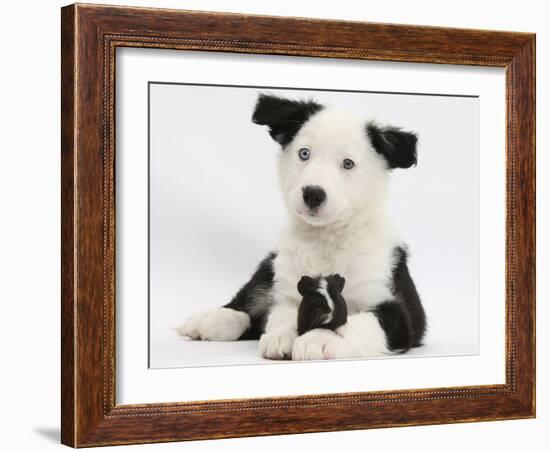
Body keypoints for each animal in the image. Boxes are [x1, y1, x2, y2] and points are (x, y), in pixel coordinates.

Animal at [179, 92, 430, 360]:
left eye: (348, 163)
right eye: (304, 153)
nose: (313, 194)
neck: (325, 238)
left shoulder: (397, 311)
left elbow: (357, 322)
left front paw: (320, 338)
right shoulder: (288, 290)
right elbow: (283, 314)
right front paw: (281, 336)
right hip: (271, 264)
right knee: (251, 302)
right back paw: (210, 319)